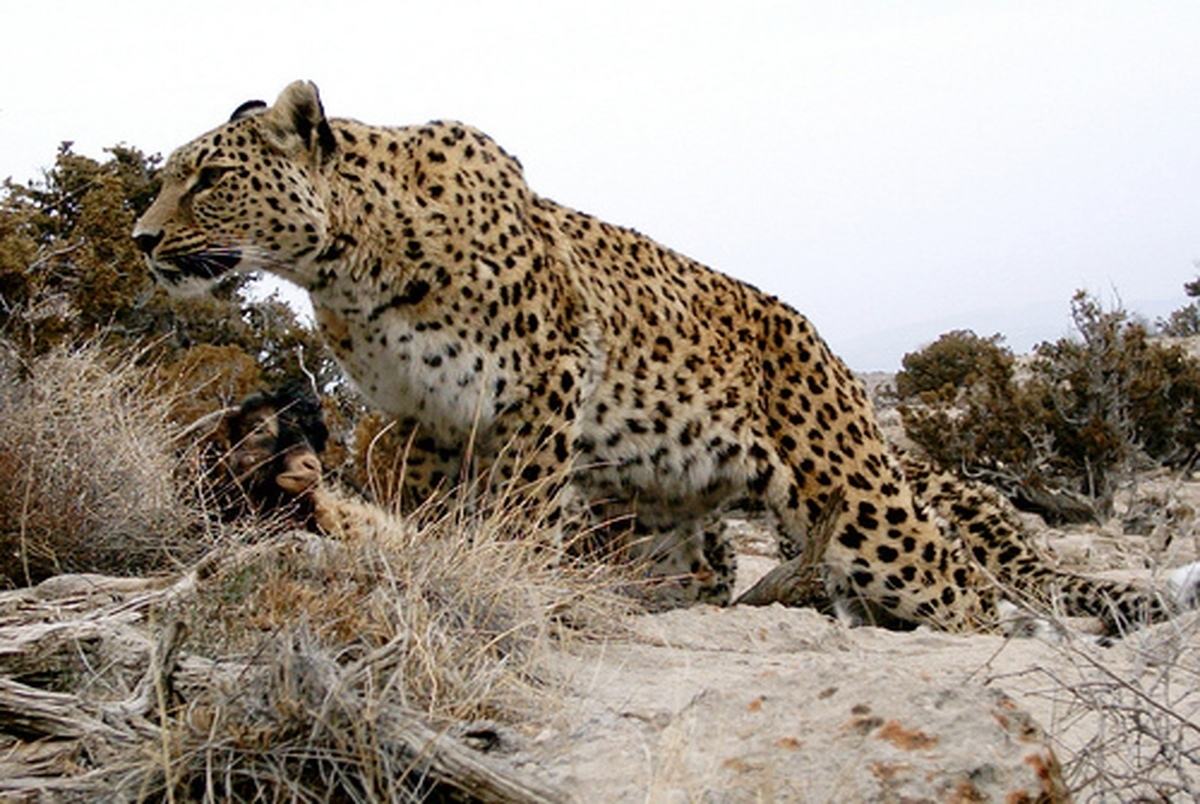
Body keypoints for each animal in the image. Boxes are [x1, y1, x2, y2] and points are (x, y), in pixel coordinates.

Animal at [136, 81, 1185, 638]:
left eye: (211, 176)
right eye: (170, 177)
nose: (143, 238)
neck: (351, 263)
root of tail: (829, 349)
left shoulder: (543, 382)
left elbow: (517, 508)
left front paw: (503, 578)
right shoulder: (422, 417)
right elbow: (427, 509)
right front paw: (432, 565)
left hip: (856, 501)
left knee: (962, 586)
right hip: (665, 517)